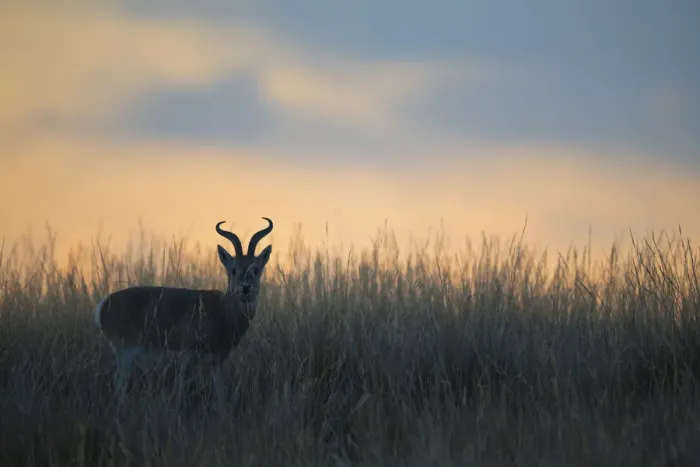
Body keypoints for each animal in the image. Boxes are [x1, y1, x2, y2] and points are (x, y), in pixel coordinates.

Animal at [95, 217, 273, 405]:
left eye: (256, 269)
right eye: (233, 269)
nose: (245, 288)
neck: (221, 310)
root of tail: (103, 305)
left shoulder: (217, 363)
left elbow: (221, 396)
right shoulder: (185, 357)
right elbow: (180, 391)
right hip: (125, 354)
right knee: (118, 384)